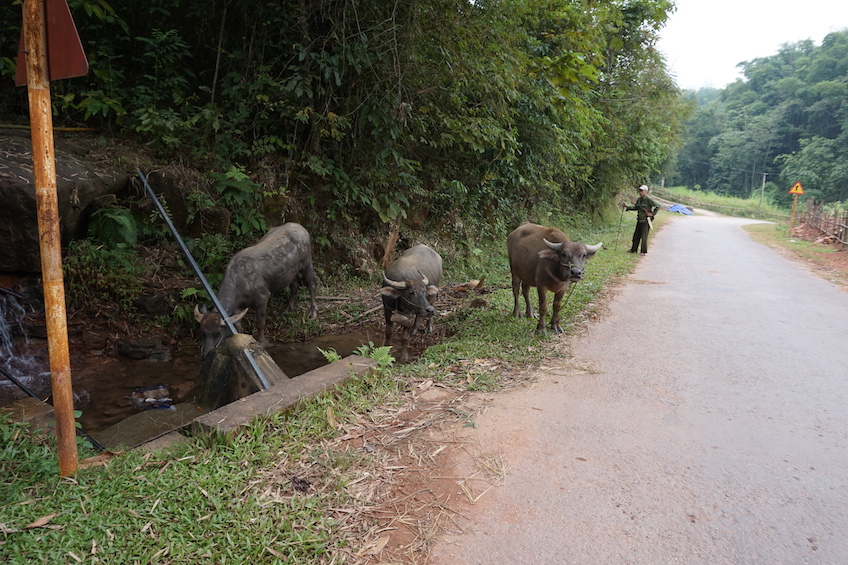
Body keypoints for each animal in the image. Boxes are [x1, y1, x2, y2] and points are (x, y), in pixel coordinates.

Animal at [194, 221, 320, 356]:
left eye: (217, 333)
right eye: (203, 332)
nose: (205, 354)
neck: (240, 280)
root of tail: (300, 227)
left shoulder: (263, 297)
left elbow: (260, 322)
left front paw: (263, 342)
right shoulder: (239, 305)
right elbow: (238, 325)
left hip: (307, 264)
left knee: (311, 284)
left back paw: (313, 312)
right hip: (291, 272)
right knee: (295, 285)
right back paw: (286, 309)